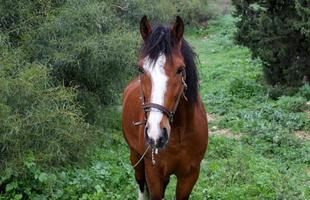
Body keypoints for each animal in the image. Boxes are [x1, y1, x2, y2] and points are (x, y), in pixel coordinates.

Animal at [121, 16, 208, 200]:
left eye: (180, 69)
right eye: (141, 69)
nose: (156, 134)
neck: (179, 135)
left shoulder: (190, 175)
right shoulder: (154, 174)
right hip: (135, 156)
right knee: (140, 183)